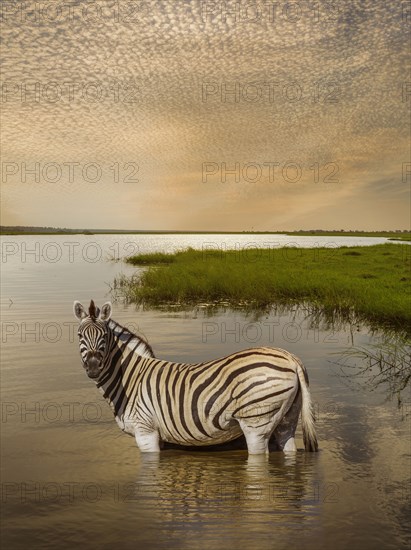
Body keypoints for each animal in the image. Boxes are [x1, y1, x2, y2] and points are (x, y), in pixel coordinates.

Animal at [74, 302, 318, 458]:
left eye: (104, 336)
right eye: (79, 335)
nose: (93, 367)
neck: (131, 380)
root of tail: (290, 357)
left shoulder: (146, 432)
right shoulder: (159, 436)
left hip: (257, 421)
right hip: (287, 417)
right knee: (288, 447)